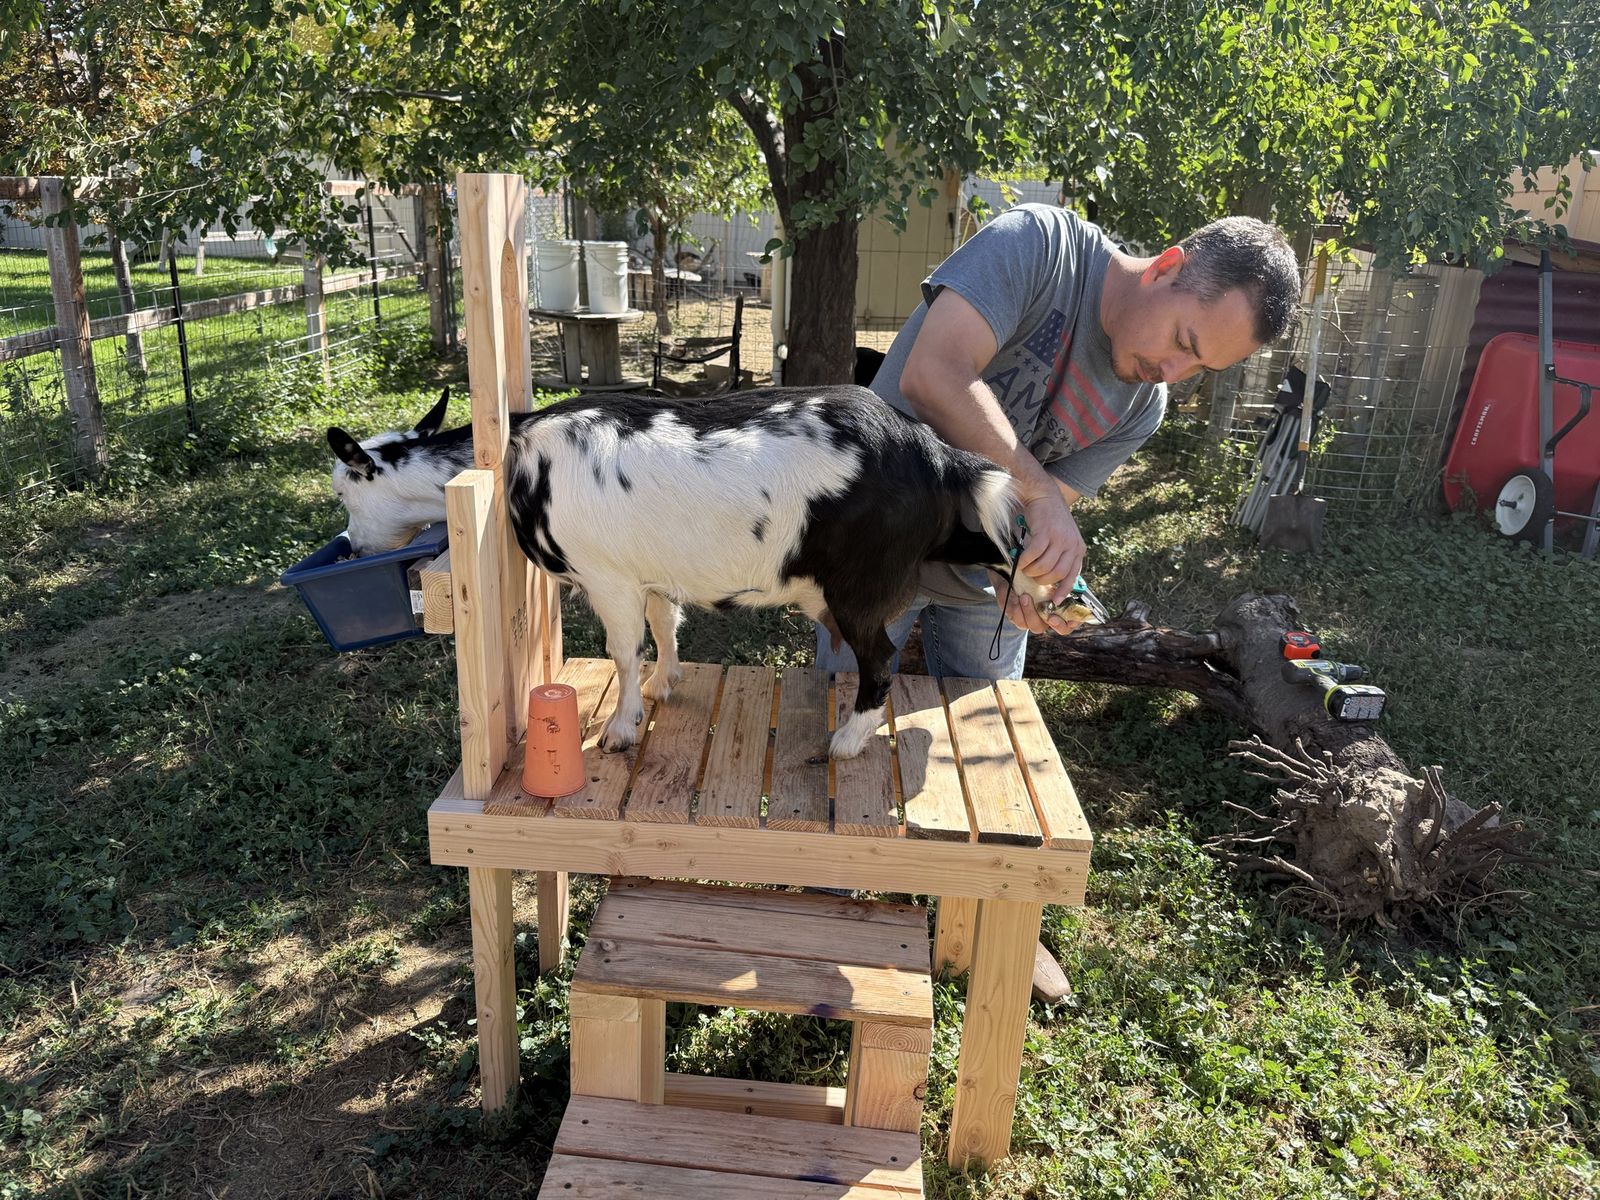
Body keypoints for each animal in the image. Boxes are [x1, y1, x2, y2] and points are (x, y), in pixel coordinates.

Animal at [328, 385, 1044, 760]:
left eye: (344, 491)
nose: (353, 550)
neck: (518, 458)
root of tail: (939, 456)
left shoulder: (608, 577)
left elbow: (622, 649)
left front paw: (621, 729)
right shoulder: (648, 574)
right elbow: (664, 625)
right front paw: (666, 683)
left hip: (857, 591)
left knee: (882, 657)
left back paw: (846, 740)